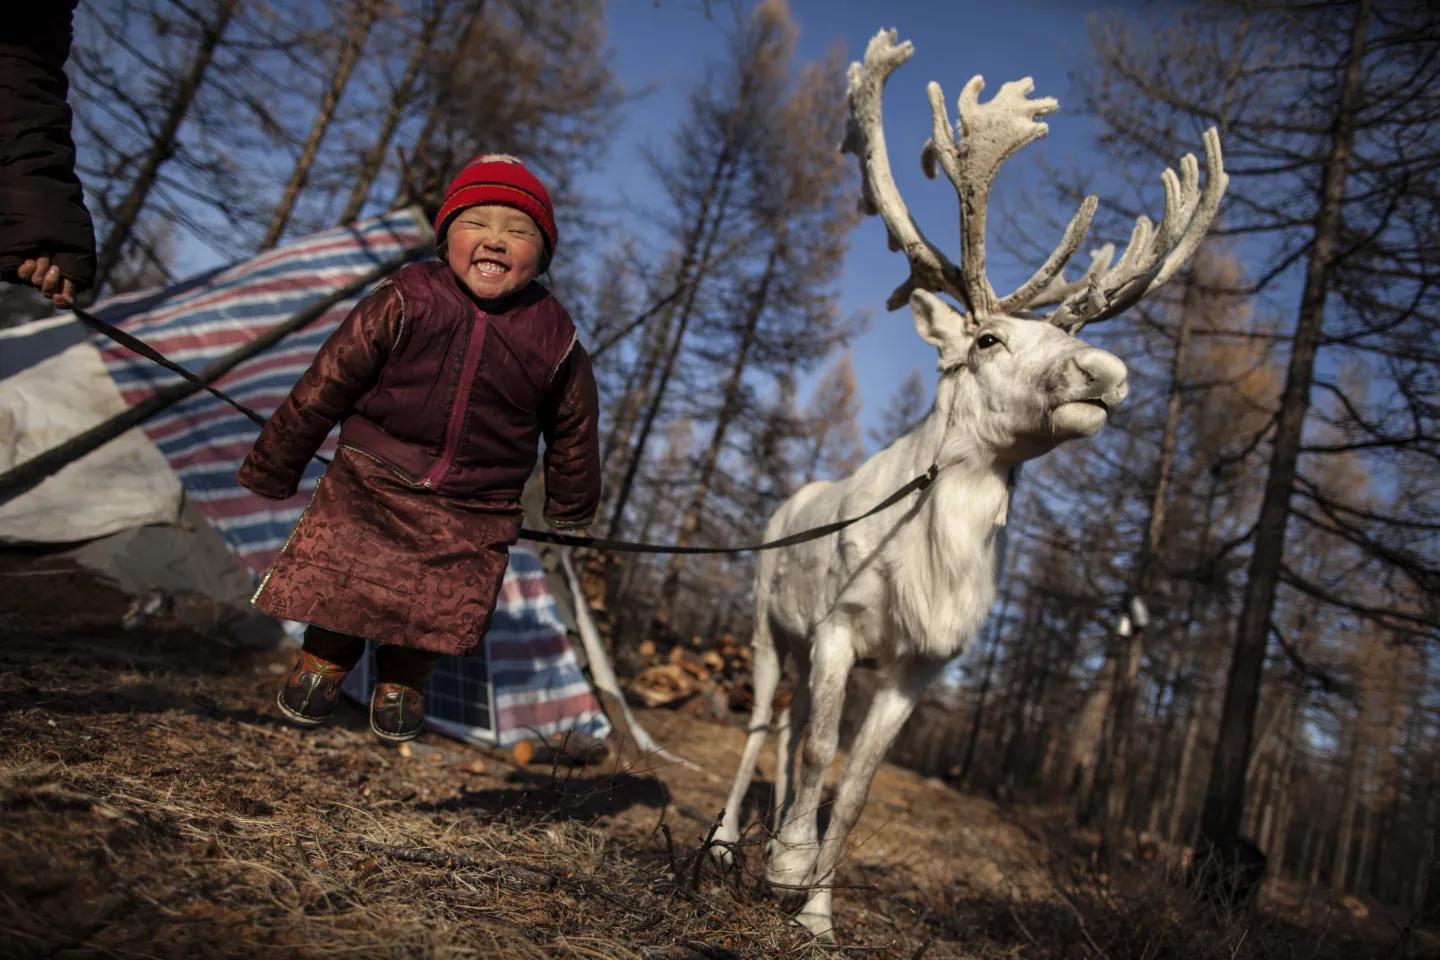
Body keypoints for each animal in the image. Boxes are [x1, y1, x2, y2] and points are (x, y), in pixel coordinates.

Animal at [711, 28, 1228, 941]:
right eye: (986, 339)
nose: (1106, 373)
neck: (935, 552)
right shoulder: (840, 624)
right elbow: (820, 749)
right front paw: (788, 866)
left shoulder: (920, 665)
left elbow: (857, 785)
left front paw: (818, 914)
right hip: (773, 627)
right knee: (764, 723)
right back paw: (728, 843)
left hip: (806, 648)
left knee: (791, 725)